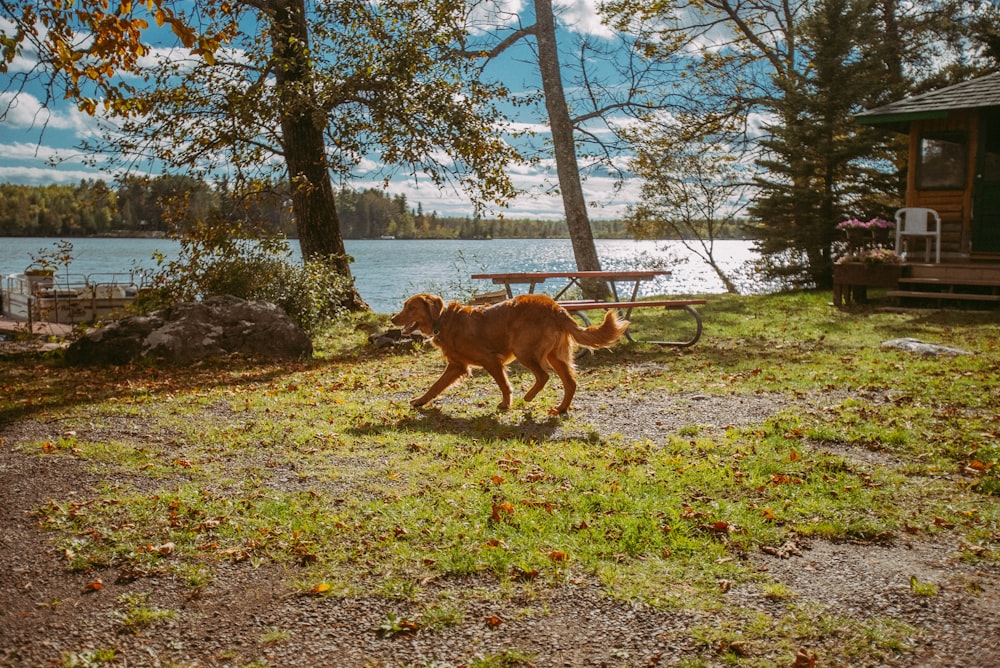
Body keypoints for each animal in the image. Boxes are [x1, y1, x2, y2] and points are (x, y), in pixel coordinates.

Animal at [388, 292, 624, 412]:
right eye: (405, 305)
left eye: (411, 308)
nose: (392, 319)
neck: (443, 319)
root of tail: (556, 307)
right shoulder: (456, 366)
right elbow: (435, 386)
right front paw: (420, 401)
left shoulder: (490, 361)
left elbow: (504, 385)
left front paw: (505, 404)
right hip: (554, 355)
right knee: (570, 382)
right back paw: (561, 408)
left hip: (524, 350)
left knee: (543, 376)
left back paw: (529, 397)